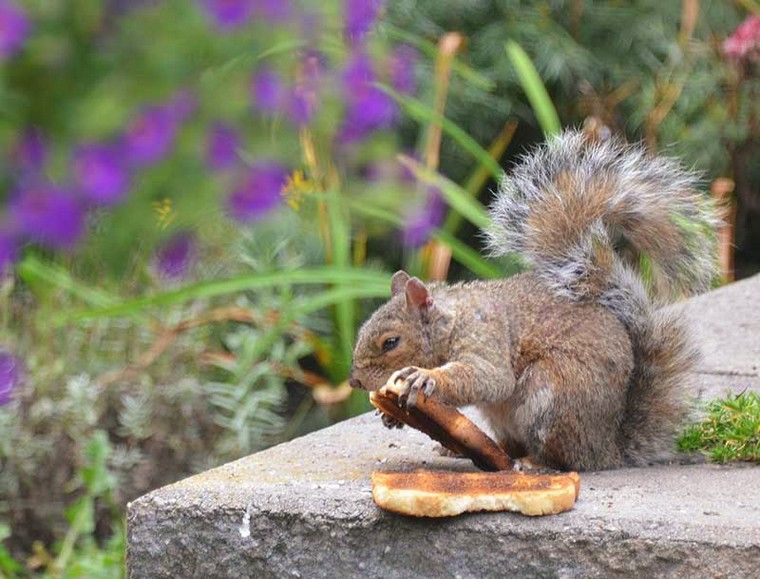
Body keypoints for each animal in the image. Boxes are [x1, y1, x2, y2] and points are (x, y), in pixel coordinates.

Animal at [350, 130, 720, 472]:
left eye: (391, 342)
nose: (354, 381)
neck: (452, 319)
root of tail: (608, 450)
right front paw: (391, 416)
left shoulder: (486, 337)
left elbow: (489, 378)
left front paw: (425, 378)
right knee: (510, 445)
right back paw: (462, 449)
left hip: (551, 396)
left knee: (563, 458)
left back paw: (536, 464)